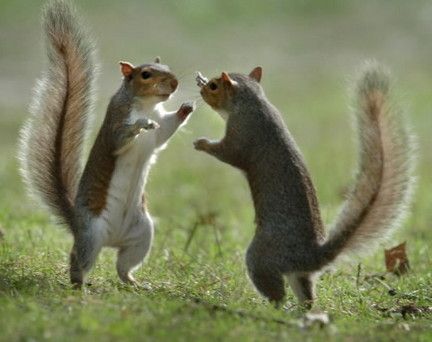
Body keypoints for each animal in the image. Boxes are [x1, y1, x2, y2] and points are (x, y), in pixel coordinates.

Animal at [18, 0, 194, 286]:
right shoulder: (116, 122)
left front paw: (186, 108)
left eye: (168, 68)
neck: (147, 105)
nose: (175, 83)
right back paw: (81, 285)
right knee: (78, 259)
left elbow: (165, 130)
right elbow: (120, 139)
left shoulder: (161, 128)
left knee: (123, 266)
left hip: (142, 235)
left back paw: (135, 283)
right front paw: (140, 125)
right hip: (92, 236)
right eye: (146, 74)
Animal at [193, 62, 416, 308]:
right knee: (306, 295)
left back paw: (272, 307)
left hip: (261, 257)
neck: (251, 100)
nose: (201, 90)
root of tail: (310, 257)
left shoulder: (242, 133)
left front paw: (202, 144)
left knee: (275, 292)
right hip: (298, 275)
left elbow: (228, 152)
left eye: (214, 86)